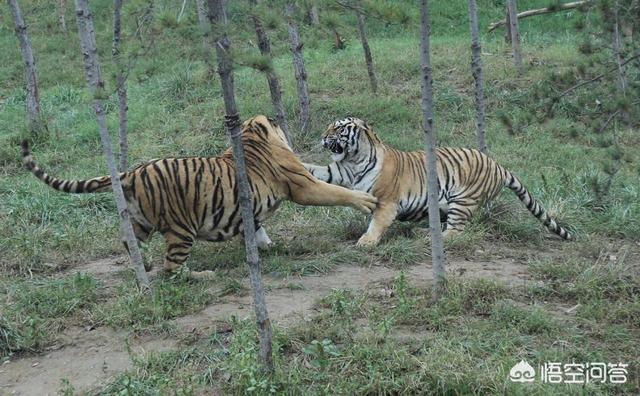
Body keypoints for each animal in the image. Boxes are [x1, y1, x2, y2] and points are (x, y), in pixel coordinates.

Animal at [22, 114, 378, 272]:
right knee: (173, 270)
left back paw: (143, 266)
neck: (250, 135)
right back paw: (198, 274)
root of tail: (131, 172)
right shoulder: (303, 186)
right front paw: (365, 201)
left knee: (129, 241)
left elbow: (257, 226)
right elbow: (335, 191)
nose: (281, 119)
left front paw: (267, 246)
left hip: (140, 222)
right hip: (181, 230)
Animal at [302, 116, 572, 246]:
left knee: (457, 232)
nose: (323, 137)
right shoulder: (338, 172)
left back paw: (428, 236)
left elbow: (377, 223)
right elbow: (315, 172)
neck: (354, 158)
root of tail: (499, 166)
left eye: (338, 129)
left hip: (462, 200)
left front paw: (366, 242)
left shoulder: (387, 201)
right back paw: (424, 230)